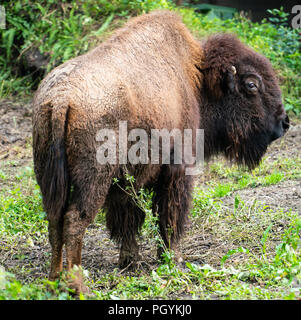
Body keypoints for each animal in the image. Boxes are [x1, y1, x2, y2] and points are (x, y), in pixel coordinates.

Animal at [32, 11, 288, 294]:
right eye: (252, 85)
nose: (284, 122)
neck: (195, 78)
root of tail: (61, 98)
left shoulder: (128, 181)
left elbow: (129, 219)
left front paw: (130, 261)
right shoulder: (177, 170)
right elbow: (169, 214)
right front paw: (172, 258)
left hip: (50, 177)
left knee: (54, 221)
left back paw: (53, 281)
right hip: (93, 180)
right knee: (74, 221)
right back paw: (78, 286)